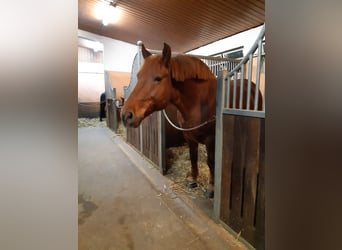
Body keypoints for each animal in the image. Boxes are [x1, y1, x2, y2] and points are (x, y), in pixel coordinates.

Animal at [121, 43, 262, 199]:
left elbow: (210, 162)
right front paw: (193, 181)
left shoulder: (210, 139)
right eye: (138, 76)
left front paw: (211, 188)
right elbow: (193, 158)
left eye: (158, 78)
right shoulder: (189, 137)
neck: (198, 103)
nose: (126, 115)